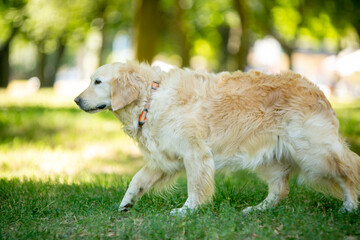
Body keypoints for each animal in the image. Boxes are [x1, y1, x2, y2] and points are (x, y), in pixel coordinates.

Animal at [74, 61, 360, 214]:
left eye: (97, 82)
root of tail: (318, 90)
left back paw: (350, 206)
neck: (151, 98)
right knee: (280, 188)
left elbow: (195, 186)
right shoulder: (166, 157)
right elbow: (138, 178)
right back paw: (257, 209)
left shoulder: (194, 153)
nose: (76, 100)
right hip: (269, 157)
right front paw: (127, 202)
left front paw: (187, 210)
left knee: (348, 170)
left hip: (313, 152)